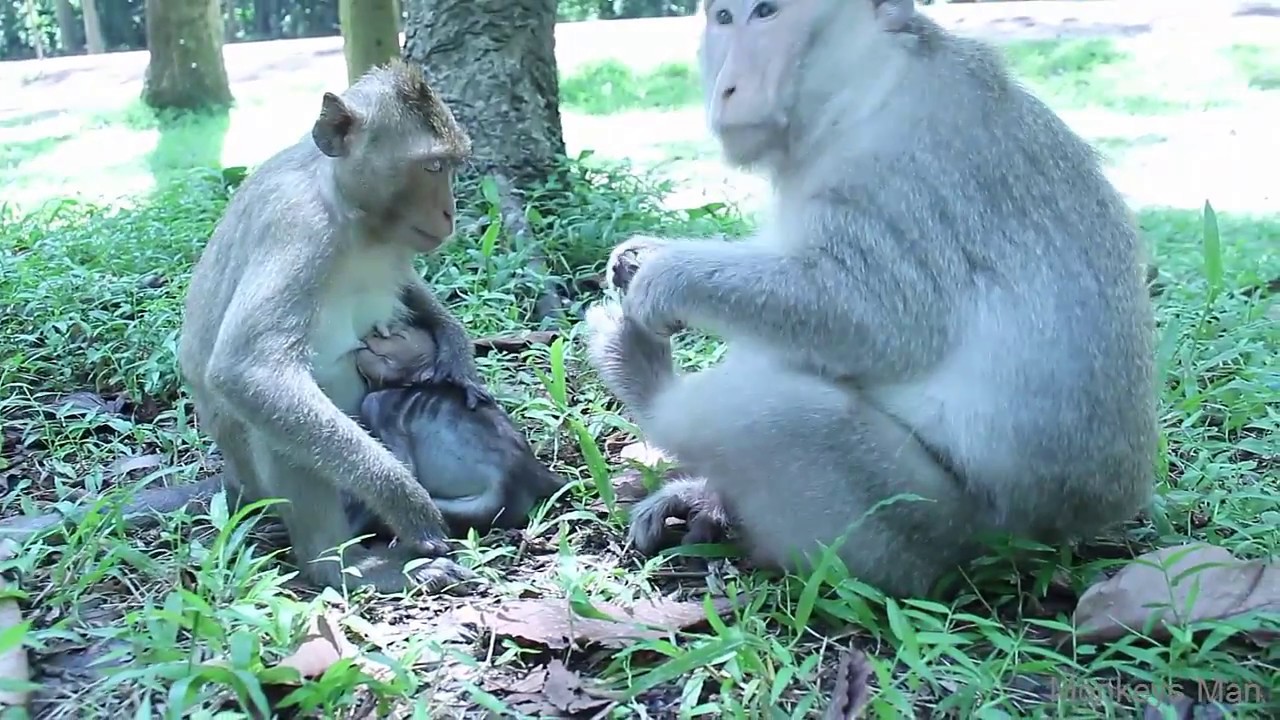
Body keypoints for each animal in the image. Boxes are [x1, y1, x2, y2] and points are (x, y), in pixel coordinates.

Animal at [177, 60, 495, 594]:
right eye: (432, 167)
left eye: (452, 165)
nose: (450, 212)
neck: (351, 214)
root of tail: (234, 485)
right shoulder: (297, 229)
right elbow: (248, 369)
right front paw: (404, 500)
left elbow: (410, 290)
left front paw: (457, 352)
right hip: (257, 484)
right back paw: (339, 565)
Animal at [344, 323, 566, 536]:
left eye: (399, 336)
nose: (374, 333)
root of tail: (534, 472)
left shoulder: (376, 406)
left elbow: (404, 469)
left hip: (491, 502)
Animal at [583, 0, 1157, 599]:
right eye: (723, 17)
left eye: (766, 12)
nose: (727, 88)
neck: (865, 87)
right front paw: (638, 255)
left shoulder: (894, 176)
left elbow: (874, 319)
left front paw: (663, 278)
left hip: (923, 523)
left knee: (781, 411)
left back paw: (644, 381)